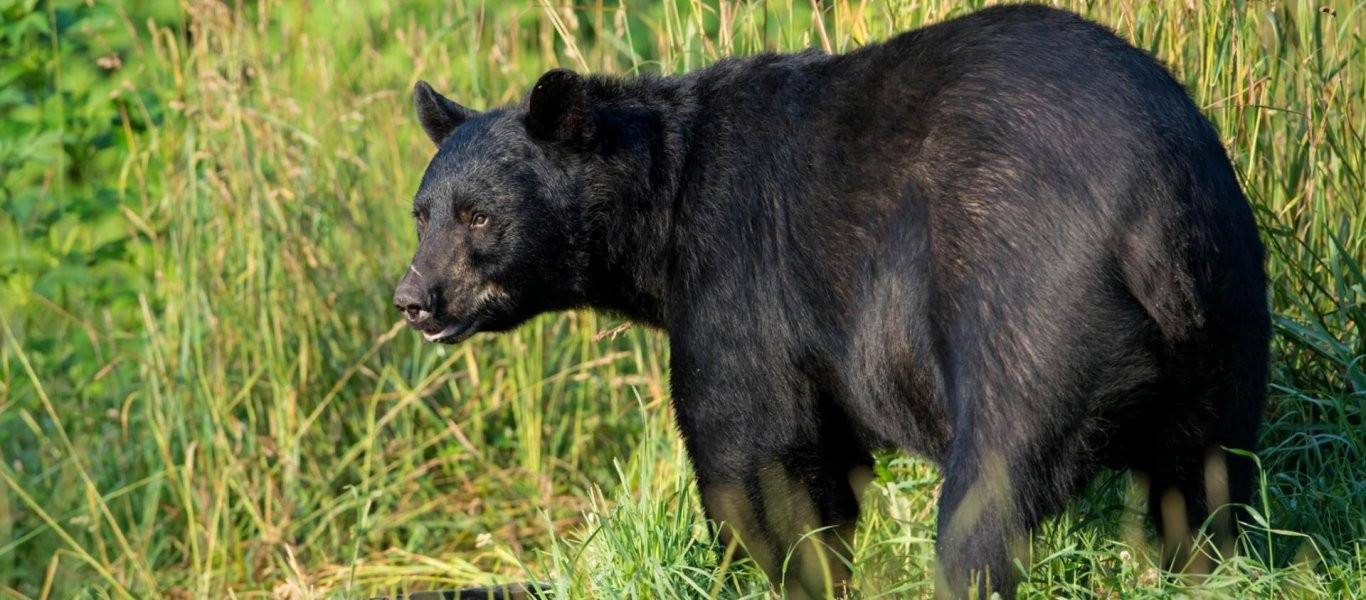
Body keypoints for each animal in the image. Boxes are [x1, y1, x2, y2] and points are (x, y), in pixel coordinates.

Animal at [393, 5, 1267, 600]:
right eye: (422, 212)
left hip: (1027, 312)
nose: (414, 298)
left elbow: (752, 452)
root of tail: (1151, 212)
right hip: (1224, 321)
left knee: (989, 492)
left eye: (478, 215)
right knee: (1207, 485)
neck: (661, 208)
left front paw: (760, 570)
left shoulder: (739, 271)